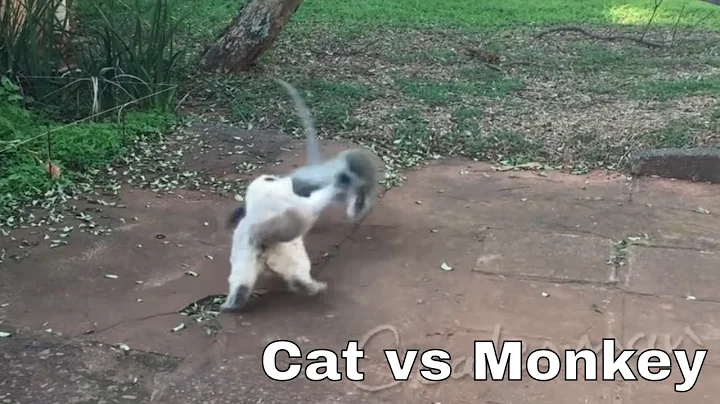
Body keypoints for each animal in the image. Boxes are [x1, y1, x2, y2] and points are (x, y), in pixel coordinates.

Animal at [220, 173, 346, 313]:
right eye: (271, 178)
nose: (276, 176)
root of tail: (260, 237)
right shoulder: (298, 204)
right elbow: (317, 200)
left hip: (244, 260)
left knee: (240, 284)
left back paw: (231, 305)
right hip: (291, 253)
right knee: (298, 277)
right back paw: (316, 288)